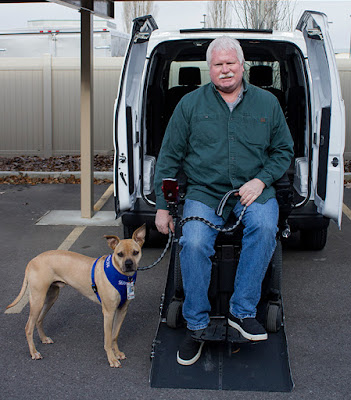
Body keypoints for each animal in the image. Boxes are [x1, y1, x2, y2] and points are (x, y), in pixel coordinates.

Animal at [5, 223, 146, 368]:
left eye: (135, 252)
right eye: (120, 254)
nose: (129, 264)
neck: (121, 276)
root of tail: (32, 261)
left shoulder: (122, 310)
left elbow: (114, 335)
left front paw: (116, 352)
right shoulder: (108, 312)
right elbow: (107, 339)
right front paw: (111, 359)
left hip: (50, 298)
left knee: (39, 320)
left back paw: (44, 339)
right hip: (37, 300)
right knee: (28, 327)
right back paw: (34, 352)